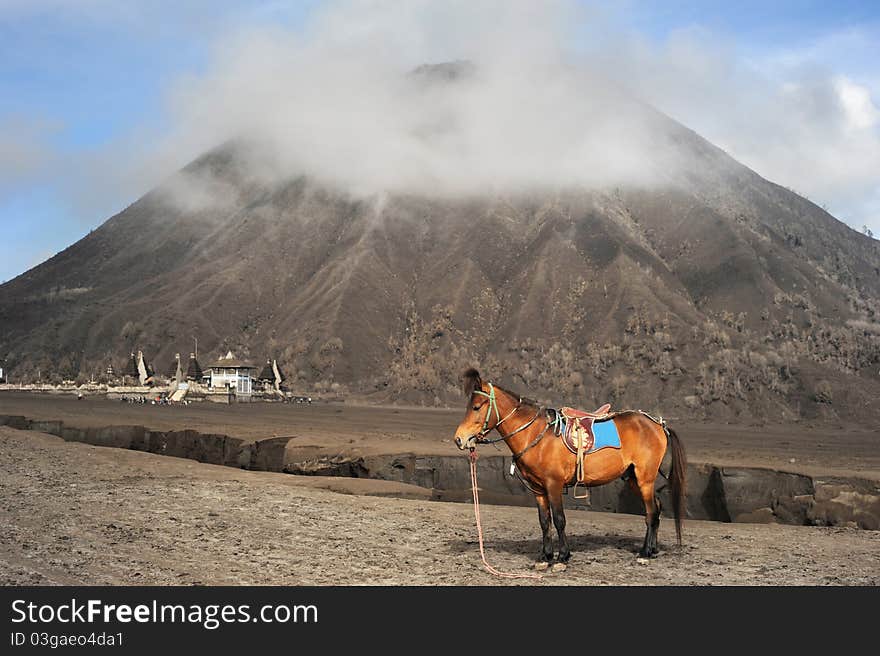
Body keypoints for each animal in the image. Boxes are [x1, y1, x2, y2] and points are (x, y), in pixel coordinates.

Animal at [454, 368, 688, 568]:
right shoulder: (538, 489)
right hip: (632, 478)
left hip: (644, 478)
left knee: (651, 512)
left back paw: (645, 553)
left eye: (476, 407)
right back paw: (653, 549)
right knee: (656, 508)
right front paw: (545, 556)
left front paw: (562, 557)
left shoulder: (554, 485)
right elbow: (544, 521)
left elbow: (559, 520)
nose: (459, 439)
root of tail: (658, 424)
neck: (536, 435)